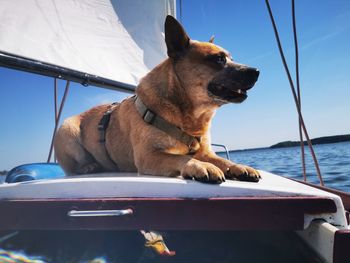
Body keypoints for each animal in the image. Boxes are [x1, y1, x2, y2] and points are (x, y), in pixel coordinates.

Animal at [54, 15, 262, 183]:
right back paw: (89, 166)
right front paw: (201, 166)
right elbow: (181, 157)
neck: (189, 116)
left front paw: (238, 166)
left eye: (231, 58)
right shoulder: (149, 156)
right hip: (67, 129)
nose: (257, 71)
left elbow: (222, 159)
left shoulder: (205, 151)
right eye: (218, 59)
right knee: (74, 167)